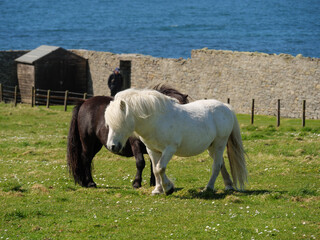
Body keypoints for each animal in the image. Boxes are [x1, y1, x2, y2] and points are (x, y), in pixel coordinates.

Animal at [105, 88, 248, 195]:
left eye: (121, 122)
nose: (112, 146)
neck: (156, 120)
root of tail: (226, 107)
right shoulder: (153, 150)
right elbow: (155, 170)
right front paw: (158, 190)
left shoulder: (169, 149)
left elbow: (160, 168)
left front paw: (168, 188)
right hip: (211, 147)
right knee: (221, 163)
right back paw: (228, 185)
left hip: (219, 144)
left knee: (216, 165)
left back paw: (208, 187)